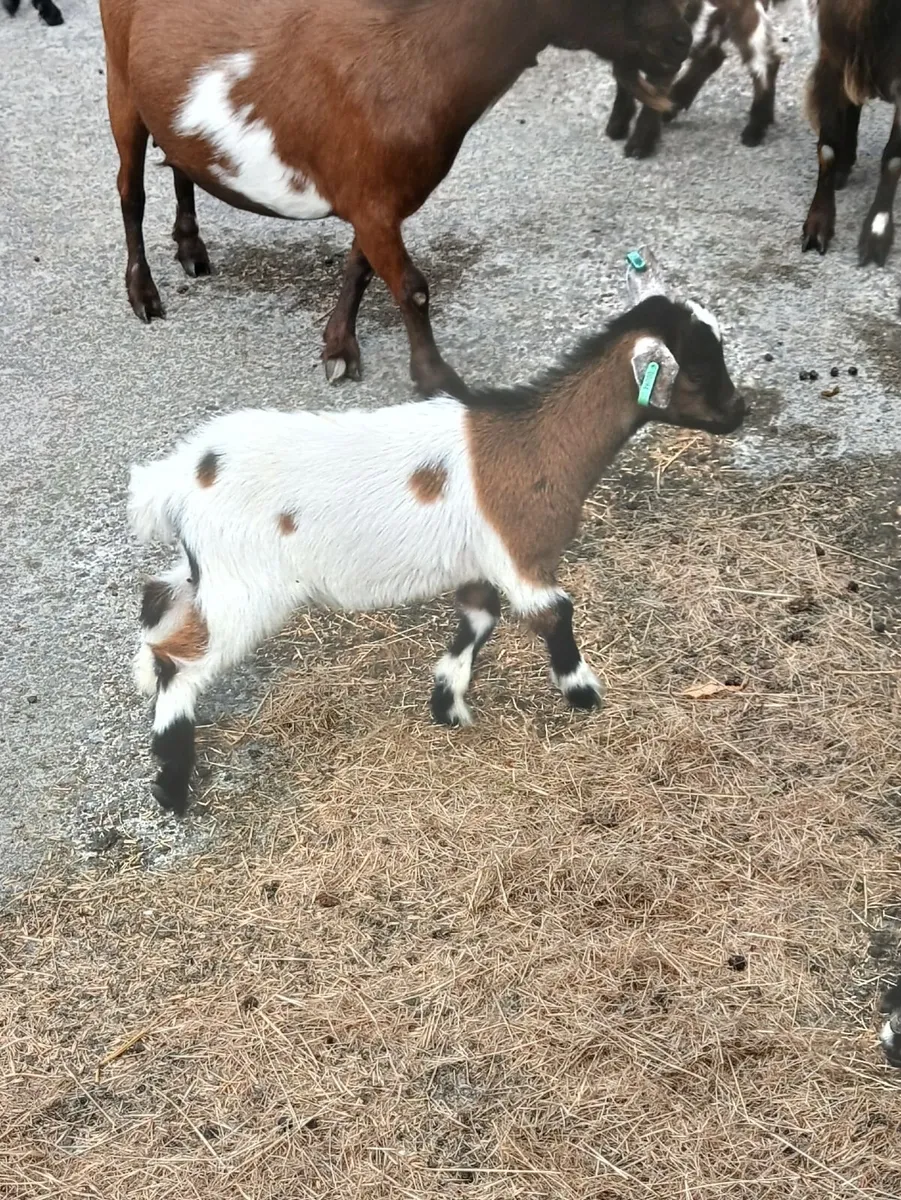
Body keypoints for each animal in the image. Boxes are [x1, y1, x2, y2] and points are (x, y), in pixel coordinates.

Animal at [99, 0, 693, 398]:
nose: (683, 39)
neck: (414, 60)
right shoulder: (374, 204)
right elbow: (413, 288)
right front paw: (437, 379)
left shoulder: (375, 203)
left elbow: (361, 269)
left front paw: (338, 348)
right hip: (121, 87)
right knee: (130, 191)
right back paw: (144, 294)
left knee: (181, 165)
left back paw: (191, 249)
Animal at [127, 251, 744, 815]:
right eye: (698, 368)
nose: (739, 412)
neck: (538, 441)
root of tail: (181, 477)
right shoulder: (521, 553)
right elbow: (554, 614)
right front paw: (583, 693)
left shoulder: (481, 562)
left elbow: (479, 618)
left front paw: (447, 704)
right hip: (247, 590)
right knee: (182, 658)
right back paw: (172, 784)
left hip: (211, 571)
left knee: (158, 600)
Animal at [606, 0, 786, 159]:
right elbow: (623, 75)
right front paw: (617, 125)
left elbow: (653, 88)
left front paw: (639, 145)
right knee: (714, 55)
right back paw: (675, 102)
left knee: (766, 60)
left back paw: (755, 128)